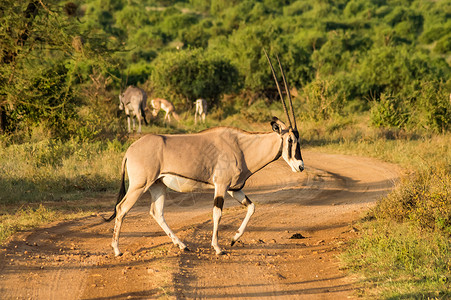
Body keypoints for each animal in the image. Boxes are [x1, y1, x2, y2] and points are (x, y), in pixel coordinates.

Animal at [105, 51, 304, 255]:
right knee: (121, 208)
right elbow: (217, 213)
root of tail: (130, 150)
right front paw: (217, 247)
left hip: (157, 185)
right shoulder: (221, 185)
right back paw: (117, 249)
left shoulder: (234, 188)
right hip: (139, 185)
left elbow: (252, 207)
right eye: (290, 140)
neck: (242, 147)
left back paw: (182, 245)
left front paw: (233, 239)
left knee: (156, 212)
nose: (300, 166)